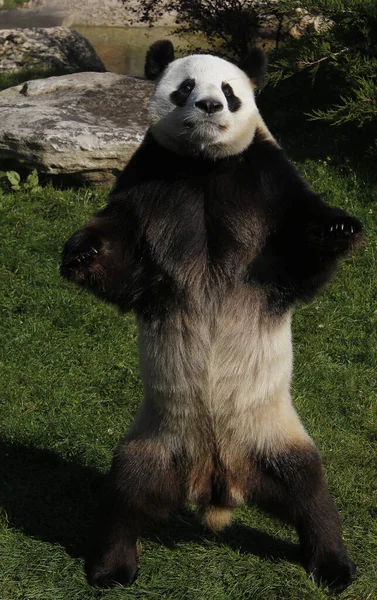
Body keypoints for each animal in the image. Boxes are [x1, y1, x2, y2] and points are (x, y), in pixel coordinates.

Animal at [61, 39, 362, 592]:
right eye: (184, 87)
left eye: (229, 90)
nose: (208, 106)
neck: (203, 168)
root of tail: (218, 480)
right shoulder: (147, 179)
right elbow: (119, 248)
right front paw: (82, 252)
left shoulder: (265, 179)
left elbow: (301, 245)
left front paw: (338, 228)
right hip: (156, 439)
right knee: (125, 494)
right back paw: (110, 567)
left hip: (272, 430)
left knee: (310, 491)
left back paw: (332, 564)